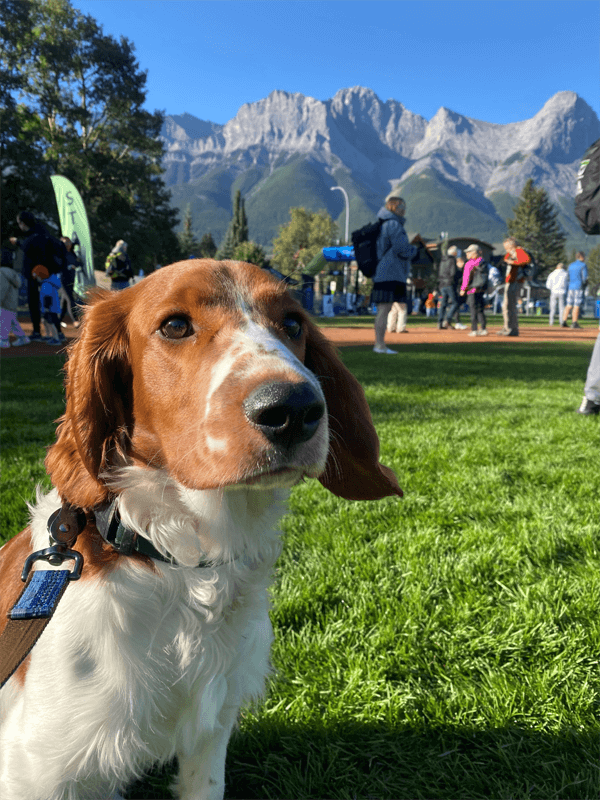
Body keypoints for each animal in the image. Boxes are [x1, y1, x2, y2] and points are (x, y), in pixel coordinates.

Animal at [1, 260, 404, 796]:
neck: (178, 558)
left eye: (293, 323)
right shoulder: (35, 770)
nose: (293, 408)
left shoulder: (211, 734)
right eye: (175, 325)